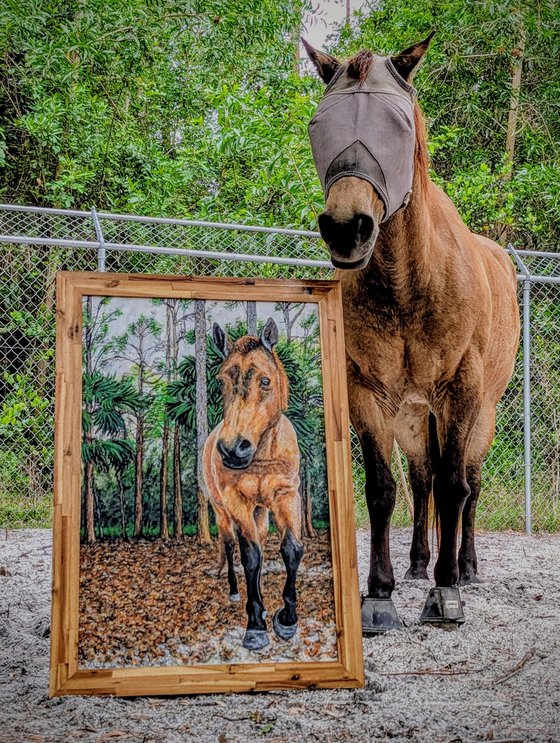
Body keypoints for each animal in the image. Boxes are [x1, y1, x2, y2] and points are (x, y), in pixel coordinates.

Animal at [202, 317, 304, 650]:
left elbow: (291, 549)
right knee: (232, 545)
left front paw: (286, 619)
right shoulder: (237, 502)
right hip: (223, 513)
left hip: (261, 511)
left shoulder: (287, 495)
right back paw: (236, 592)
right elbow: (250, 556)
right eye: (221, 382)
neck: (262, 454)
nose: (233, 449)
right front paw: (256, 626)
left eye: (265, 381)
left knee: (259, 540)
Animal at [303, 35, 519, 631]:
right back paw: (421, 561)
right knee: (422, 480)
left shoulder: (461, 392)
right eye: (319, 125)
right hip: (414, 417)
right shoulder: (367, 393)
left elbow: (454, 487)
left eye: (398, 126)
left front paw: (446, 593)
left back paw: (463, 566)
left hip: (479, 414)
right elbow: (382, 490)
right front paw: (380, 595)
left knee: (466, 485)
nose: (346, 228)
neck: (408, 279)